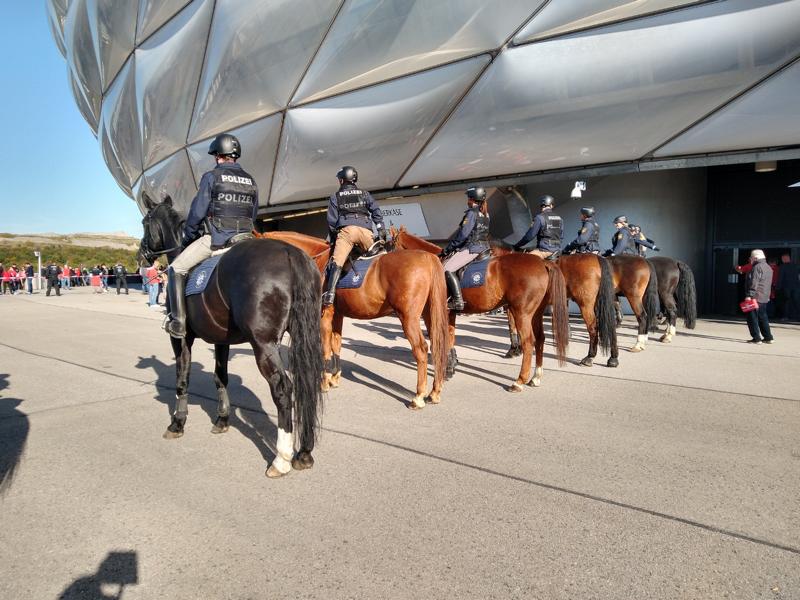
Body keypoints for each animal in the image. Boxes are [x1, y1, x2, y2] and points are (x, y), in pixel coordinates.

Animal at [139, 195, 324, 478]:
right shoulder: (221, 340)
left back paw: (281, 459)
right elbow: (220, 377)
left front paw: (177, 424)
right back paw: (303, 453)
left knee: (283, 388)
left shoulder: (181, 339)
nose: (141, 254)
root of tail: (289, 252)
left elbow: (182, 379)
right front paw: (223, 419)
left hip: (264, 345)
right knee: (307, 383)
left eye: (144, 222)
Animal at [259, 231, 448, 410]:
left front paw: (324, 382)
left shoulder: (324, 317)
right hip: (429, 315)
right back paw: (434, 392)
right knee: (438, 345)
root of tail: (428, 258)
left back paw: (418, 396)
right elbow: (336, 344)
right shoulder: (337, 315)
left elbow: (325, 349)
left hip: (408, 318)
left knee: (421, 349)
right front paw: (334, 377)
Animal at [390, 227, 570, 392]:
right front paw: (452, 365)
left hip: (522, 313)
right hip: (536, 314)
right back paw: (536, 377)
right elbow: (451, 337)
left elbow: (442, 339)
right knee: (540, 339)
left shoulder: (441, 313)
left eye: (390, 244)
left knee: (528, 341)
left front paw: (447, 369)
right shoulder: (450, 313)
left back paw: (519, 381)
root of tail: (542, 262)